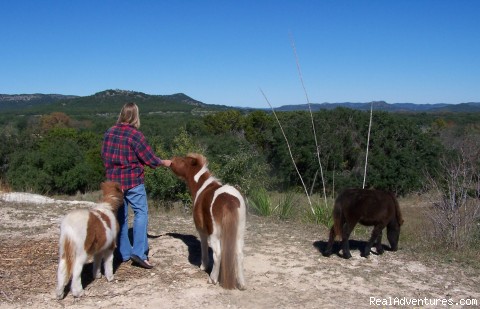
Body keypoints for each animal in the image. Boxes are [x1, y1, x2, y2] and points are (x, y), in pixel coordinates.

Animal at [170, 153, 246, 288]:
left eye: (183, 160)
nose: (171, 161)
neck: (202, 187)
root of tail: (229, 201)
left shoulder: (202, 231)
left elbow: (204, 247)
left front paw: (204, 266)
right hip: (239, 233)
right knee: (239, 254)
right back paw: (241, 284)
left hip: (214, 234)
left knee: (217, 254)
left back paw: (212, 279)